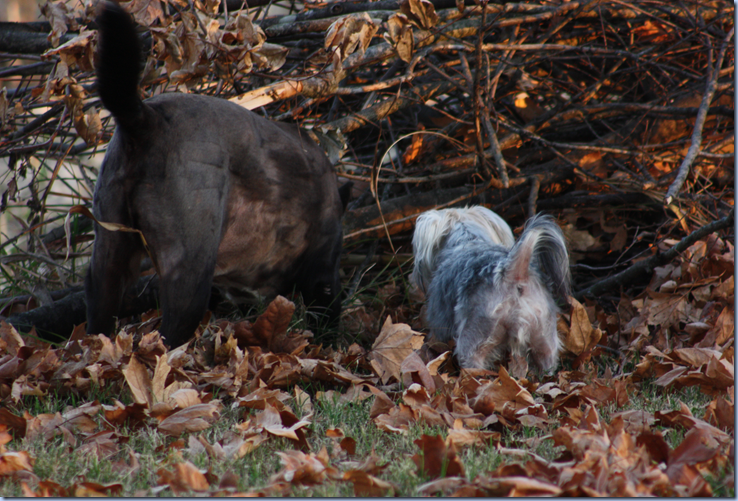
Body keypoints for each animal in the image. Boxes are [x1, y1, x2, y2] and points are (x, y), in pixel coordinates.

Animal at [85, 2, 350, 347]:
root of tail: (147, 119)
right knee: (169, 335)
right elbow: (328, 313)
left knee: (97, 324)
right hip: (189, 269)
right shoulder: (323, 268)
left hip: (109, 255)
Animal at [410, 207, 571, 376]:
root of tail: (513, 273)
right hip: (543, 332)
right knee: (547, 359)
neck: (467, 241)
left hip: (476, 335)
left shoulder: (440, 322)